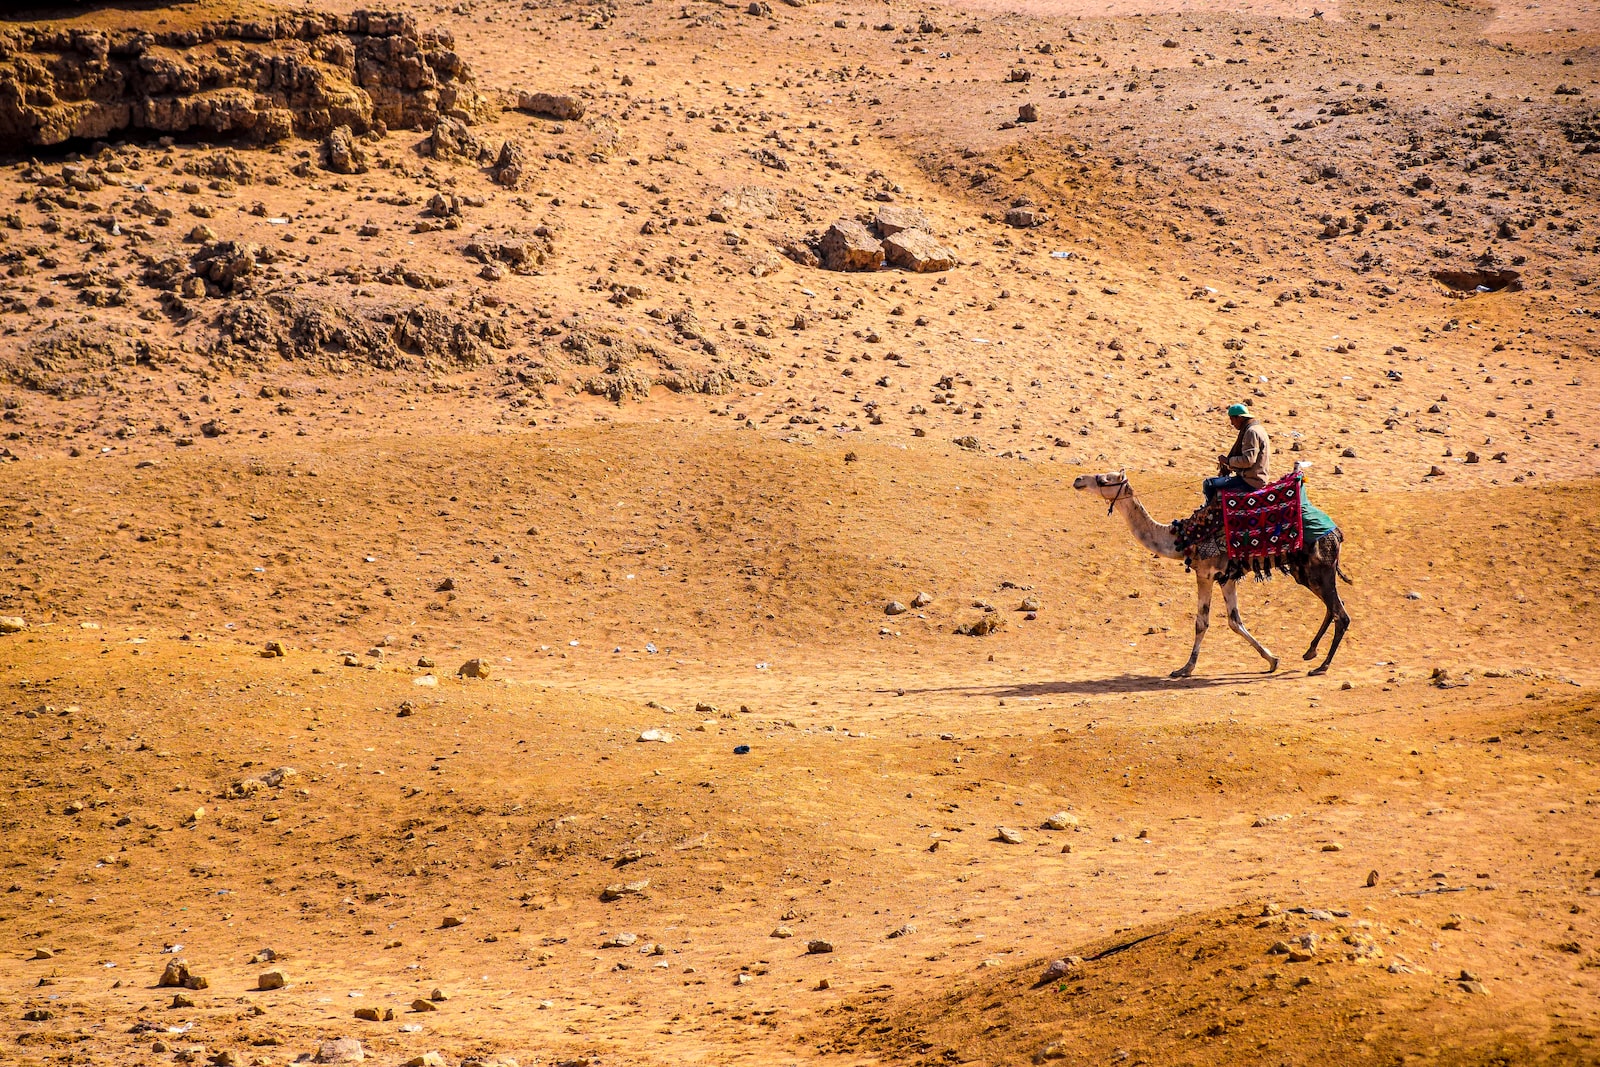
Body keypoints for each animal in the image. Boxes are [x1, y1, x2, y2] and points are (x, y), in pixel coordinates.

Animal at [1073, 471, 1351, 677]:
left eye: (1104, 479)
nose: (1078, 480)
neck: (1185, 538)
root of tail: (1337, 533)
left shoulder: (1205, 573)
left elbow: (1202, 622)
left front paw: (1184, 668)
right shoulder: (1226, 577)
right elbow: (1234, 620)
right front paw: (1272, 660)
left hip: (1320, 568)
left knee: (1341, 613)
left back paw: (1321, 666)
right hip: (1304, 572)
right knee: (1333, 608)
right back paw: (1310, 652)